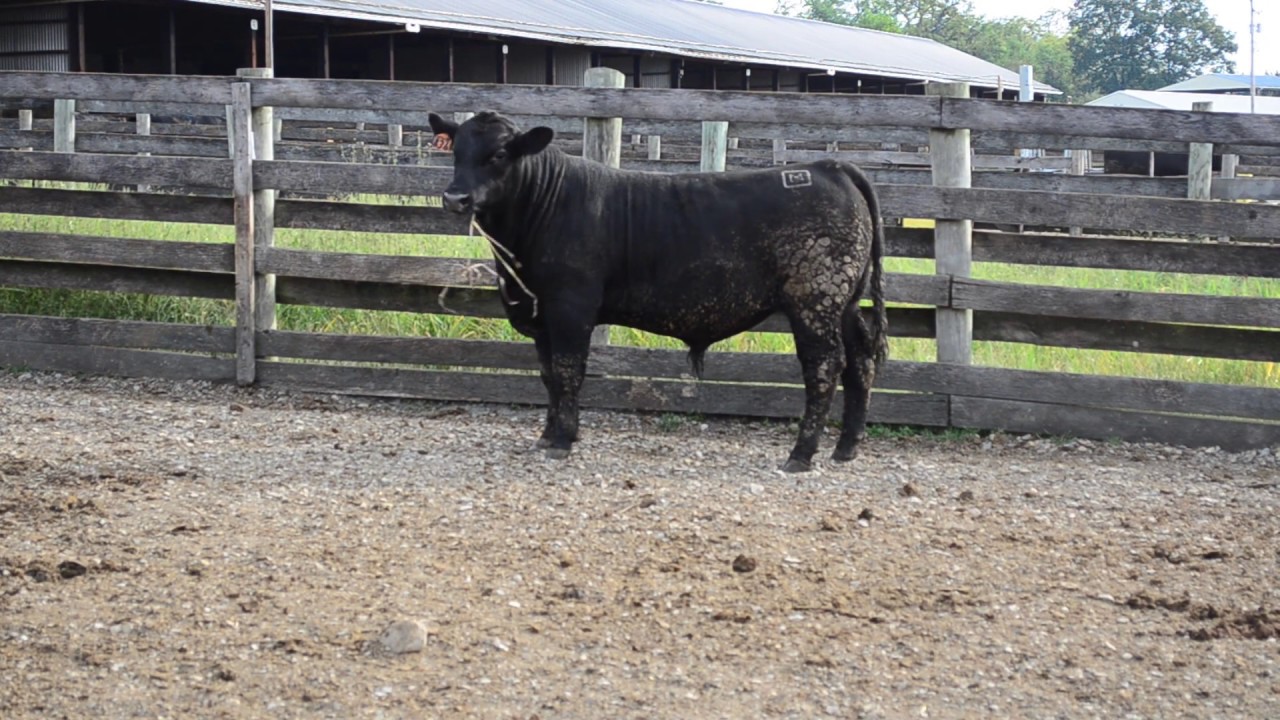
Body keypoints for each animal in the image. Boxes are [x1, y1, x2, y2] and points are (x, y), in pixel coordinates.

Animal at [427, 110, 887, 472]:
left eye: (499, 154)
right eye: (455, 151)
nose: (455, 198)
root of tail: (830, 166)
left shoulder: (571, 307)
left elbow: (568, 371)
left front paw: (563, 440)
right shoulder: (540, 315)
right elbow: (547, 374)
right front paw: (547, 434)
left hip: (815, 298)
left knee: (825, 365)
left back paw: (802, 454)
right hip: (846, 302)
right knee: (859, 362)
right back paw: (846, 448)